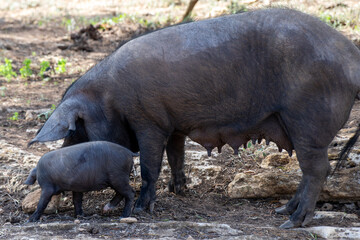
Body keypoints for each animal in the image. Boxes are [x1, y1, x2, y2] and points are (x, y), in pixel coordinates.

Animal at [28, 8, 360, 228]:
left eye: (74, 131)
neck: (109, 99)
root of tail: (351, 55)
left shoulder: (149, 121)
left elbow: (149, 165)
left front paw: (143, 208)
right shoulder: (172, 124)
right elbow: (176, 157)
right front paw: (179, 190)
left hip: (308, 119)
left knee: (317, 169)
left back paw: (292, 222)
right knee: (310, 171)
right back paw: (281, 212)